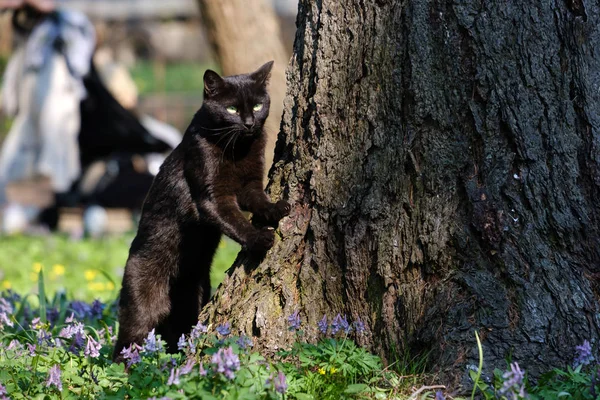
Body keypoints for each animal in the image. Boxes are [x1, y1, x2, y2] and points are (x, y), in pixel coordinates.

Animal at [113, 61, 292, 360]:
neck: (238, 149)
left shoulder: (250, 185)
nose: (249, 123)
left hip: (193, 299)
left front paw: (276, 208)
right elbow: (235, 221)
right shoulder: (211, 198)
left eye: (257, 105)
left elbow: (258, 201)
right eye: (232, 109)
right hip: (142, 306)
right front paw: (259, 238)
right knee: (126, 343)